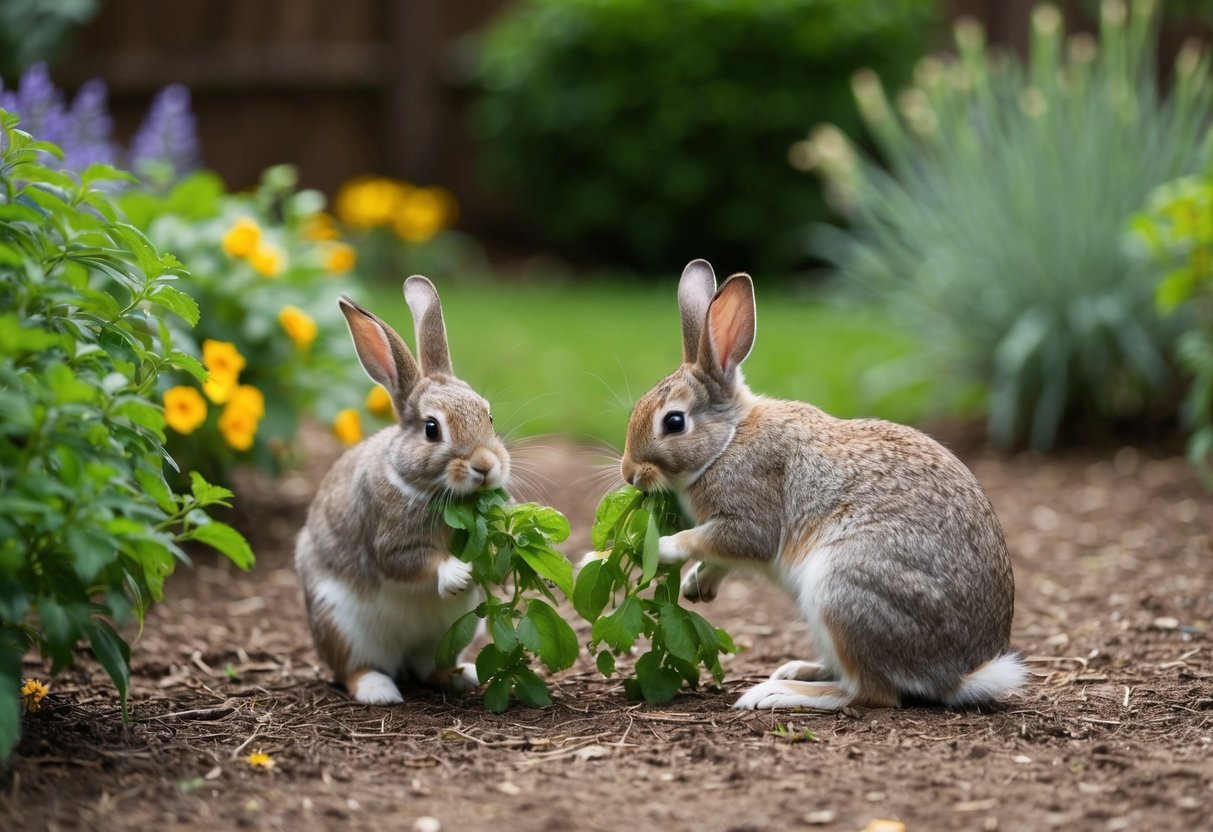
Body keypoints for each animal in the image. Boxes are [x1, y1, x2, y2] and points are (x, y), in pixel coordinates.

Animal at [295, 276, 509, 704]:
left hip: (448, 633)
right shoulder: (389, 542)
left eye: (489, 416)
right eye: (431, 429)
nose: (485, 466)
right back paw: (379, 691)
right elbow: (412, 561)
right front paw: (457, 573)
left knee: (429, 667)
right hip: (340, 624)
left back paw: (460, 676)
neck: (418, 484)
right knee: (353, 668)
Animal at [619, 259, 1026, 710]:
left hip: (840, 589)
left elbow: (722, 540)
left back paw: (776, 691)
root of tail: (958, 675)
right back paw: (797, 670)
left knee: (871, 693)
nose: (629, 472)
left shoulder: (750, 515)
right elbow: (718, 555)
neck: (729, 440)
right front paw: (697, 584)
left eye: (674, 422)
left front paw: (663, 549)